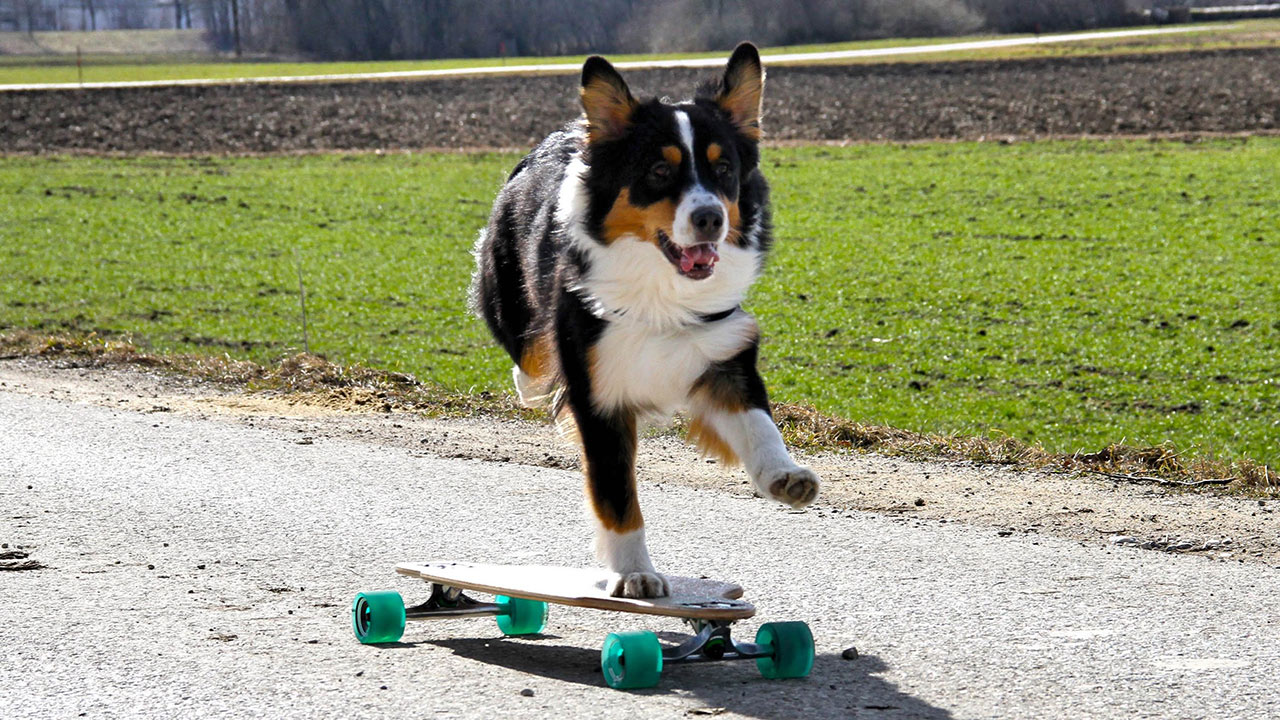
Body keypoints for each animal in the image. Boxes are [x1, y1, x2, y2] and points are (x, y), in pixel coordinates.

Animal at [471, 41, 819, 597]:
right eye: (659, 170)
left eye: (724, 169)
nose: (710, 218)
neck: (662, 289)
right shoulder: (597, 394)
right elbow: (616, 493)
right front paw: (633, 571)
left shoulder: (721, 352)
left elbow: (760, 424)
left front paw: (783, 476)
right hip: (508, 296)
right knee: (528, 355)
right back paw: (531, 384)